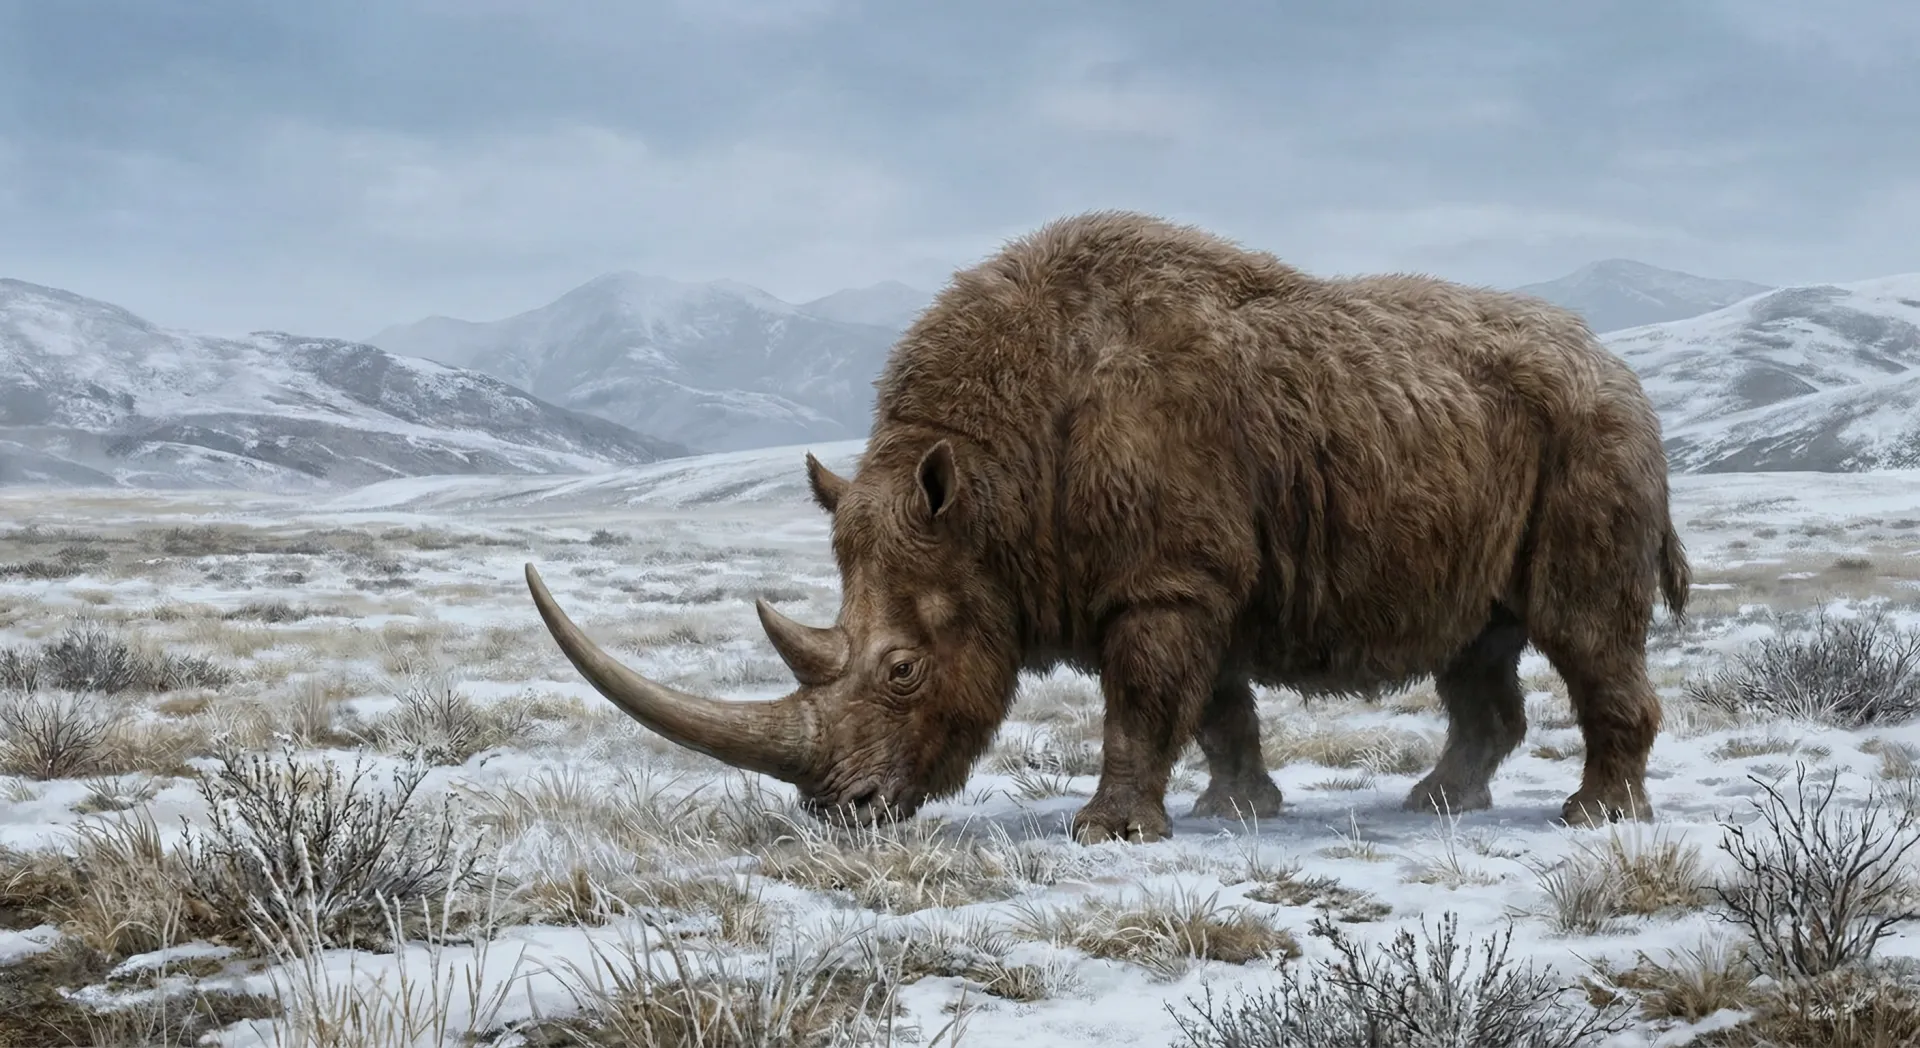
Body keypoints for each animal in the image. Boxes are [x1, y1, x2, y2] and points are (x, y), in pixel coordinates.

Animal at [524, 210, 1690, 844]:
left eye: (902, 672)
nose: (840, 812)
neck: (983, 489)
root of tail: (1621, 368)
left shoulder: (1164, 576)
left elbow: (1141, 701)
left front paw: (1107, 834)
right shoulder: (1183, 574)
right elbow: (1214, 707)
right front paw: (1237, 811)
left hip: (1593, 437)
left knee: (1580, 625)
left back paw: (1593, 820)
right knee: (1476, 640)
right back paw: (1438, 806)